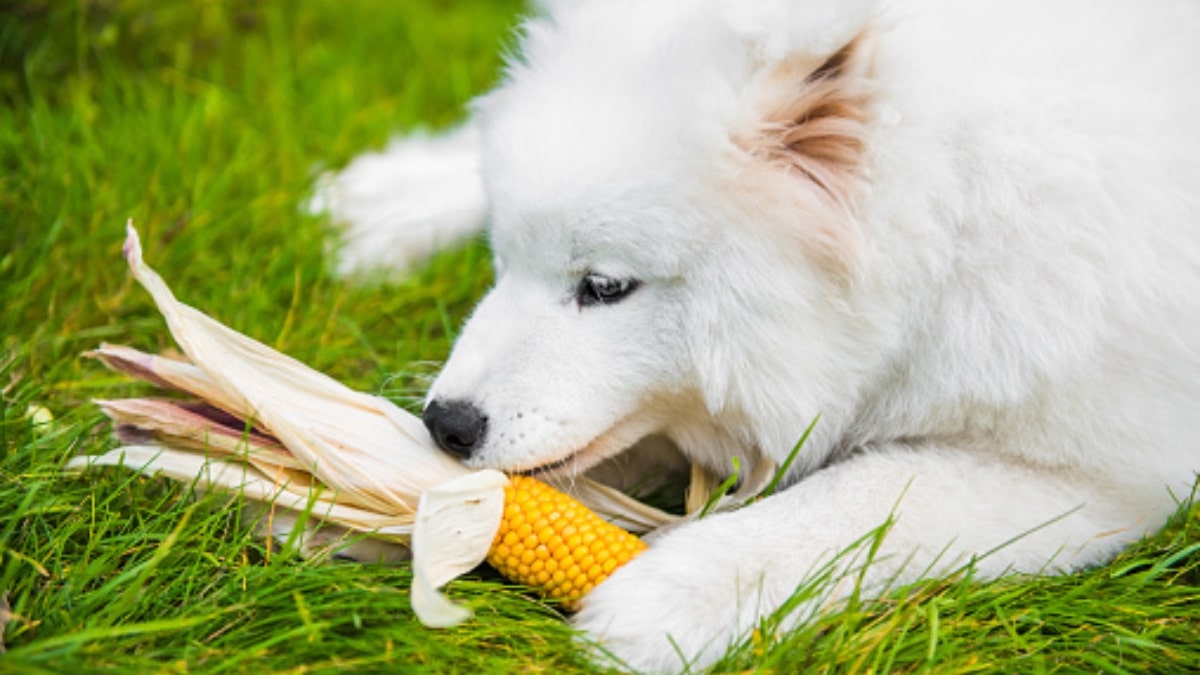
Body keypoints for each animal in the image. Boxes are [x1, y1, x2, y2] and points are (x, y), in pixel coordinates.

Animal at [319, 0, 1200, 667]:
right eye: (502, 264)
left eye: (604, 286)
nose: (446, 424)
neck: (956, 219)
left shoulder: (1104, 475)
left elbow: (870, 496)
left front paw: (677, 593)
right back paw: (390, 205)